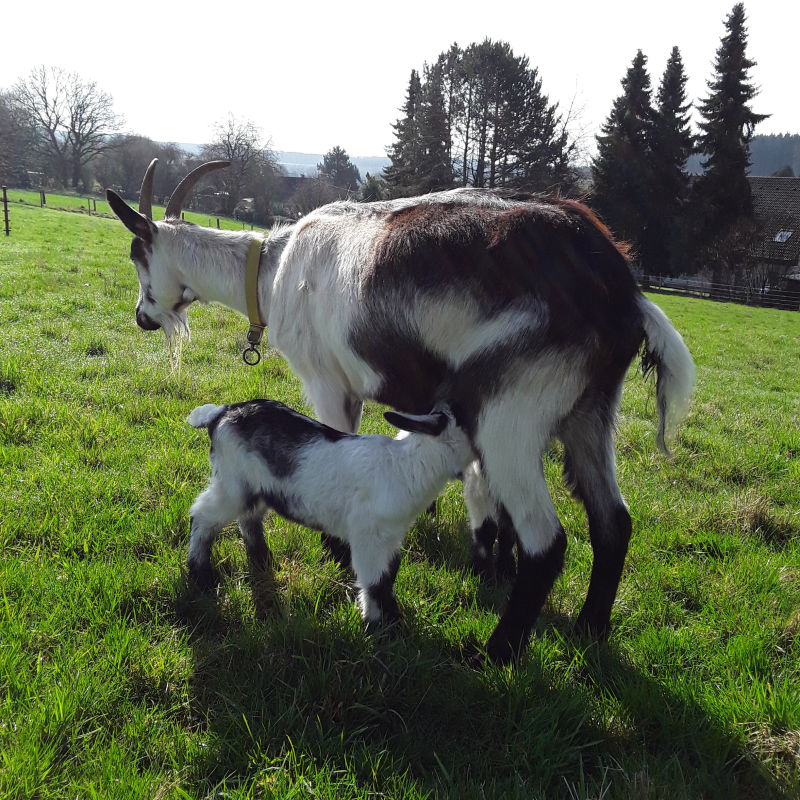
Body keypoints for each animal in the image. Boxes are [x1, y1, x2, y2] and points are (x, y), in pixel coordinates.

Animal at [186, 400, 476, 624]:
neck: (404, 466)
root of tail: (220, 413)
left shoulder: (391, 537)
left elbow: (389, 574)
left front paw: (391, 618)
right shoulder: (367, 536)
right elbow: (375, 581)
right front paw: (379, 626)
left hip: (254, 488)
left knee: (248, 518)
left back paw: (262, 559)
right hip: (232, 485)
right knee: (202, 515)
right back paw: (200, 576)